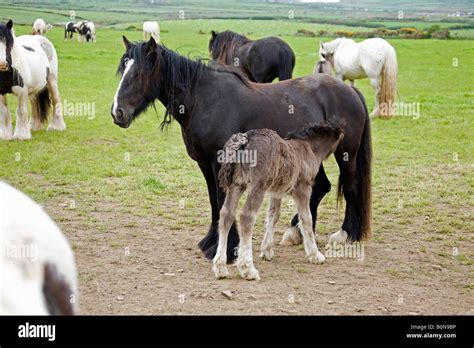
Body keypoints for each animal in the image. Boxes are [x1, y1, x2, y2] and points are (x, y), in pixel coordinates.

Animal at [112, 36, 374, 262]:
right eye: (123, 70)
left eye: (139, 73)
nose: (117, 113)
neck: (205, 100)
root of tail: (350, 91)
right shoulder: (205, 164)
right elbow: (214, 202)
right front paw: (211, 243)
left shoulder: (221, 162)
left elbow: (222, 202)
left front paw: (227, 250)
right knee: (321, 187)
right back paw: (296, 232)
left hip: (346, 155)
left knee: (351, 188)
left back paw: (346, 235)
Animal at [213, 123, 342, 282]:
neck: (309, 148)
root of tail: (245, 138)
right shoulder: (302, 189)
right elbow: (306, 219)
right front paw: (315, 255)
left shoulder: (276, 192)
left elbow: (273, 216)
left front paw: (267, 251)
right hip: (258, 186)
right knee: (246, 217)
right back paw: (248, 269)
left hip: (237, 185)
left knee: (226, 214)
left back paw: (220, 268)